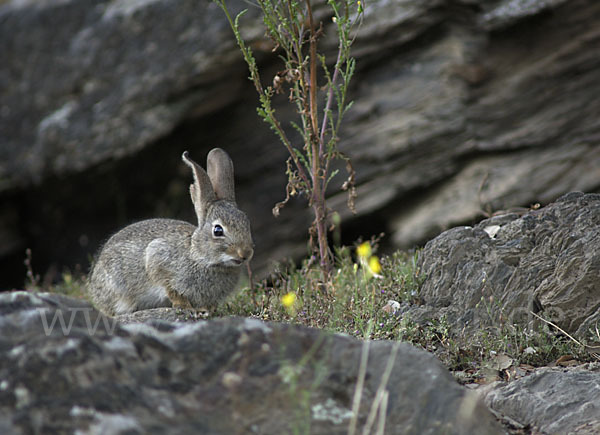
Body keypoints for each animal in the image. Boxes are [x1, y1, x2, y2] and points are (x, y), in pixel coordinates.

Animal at [87, 148, 253, 316]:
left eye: (246, 222)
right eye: (218, 230)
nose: (245, 253)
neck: (199, 256)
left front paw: (208, 310)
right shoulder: (158, 259)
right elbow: (171, 290)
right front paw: (187, 307)